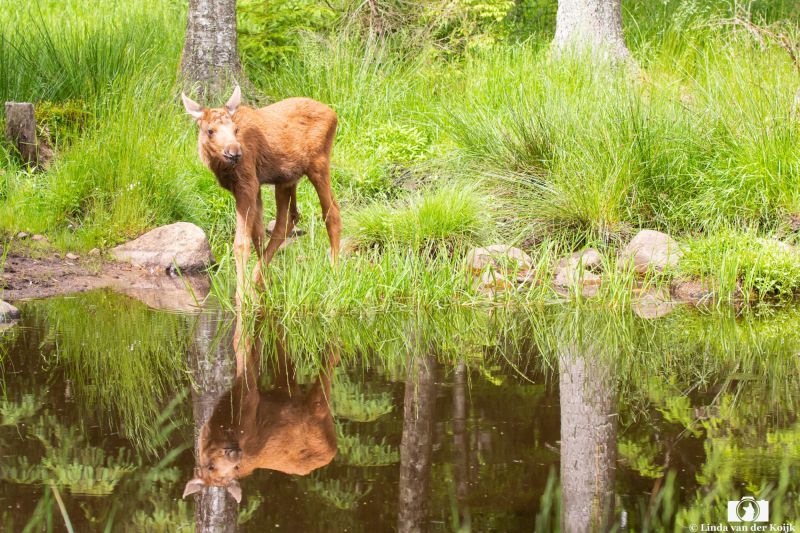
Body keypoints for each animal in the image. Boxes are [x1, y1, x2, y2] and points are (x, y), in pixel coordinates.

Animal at [181, 87, 341, 303]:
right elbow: (257, 234)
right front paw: (256, 286)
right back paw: (260, 279)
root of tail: (334, 115)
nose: (234, 152)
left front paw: (241, 293)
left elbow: (241, 243)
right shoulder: (253, 187)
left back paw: (334, 269)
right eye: (210, 130)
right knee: (289, 219)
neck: (221, 169)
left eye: (235, 129)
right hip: (287, 180)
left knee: (331, 212)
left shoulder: (247, 184)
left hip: (319, 164)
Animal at [183, 318, 339, 504]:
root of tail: (333, 450)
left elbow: (241, 341)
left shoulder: (248, 399)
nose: (235, 454)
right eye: (211, 467)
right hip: (297, 396)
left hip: (308, 402)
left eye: (234, 468)